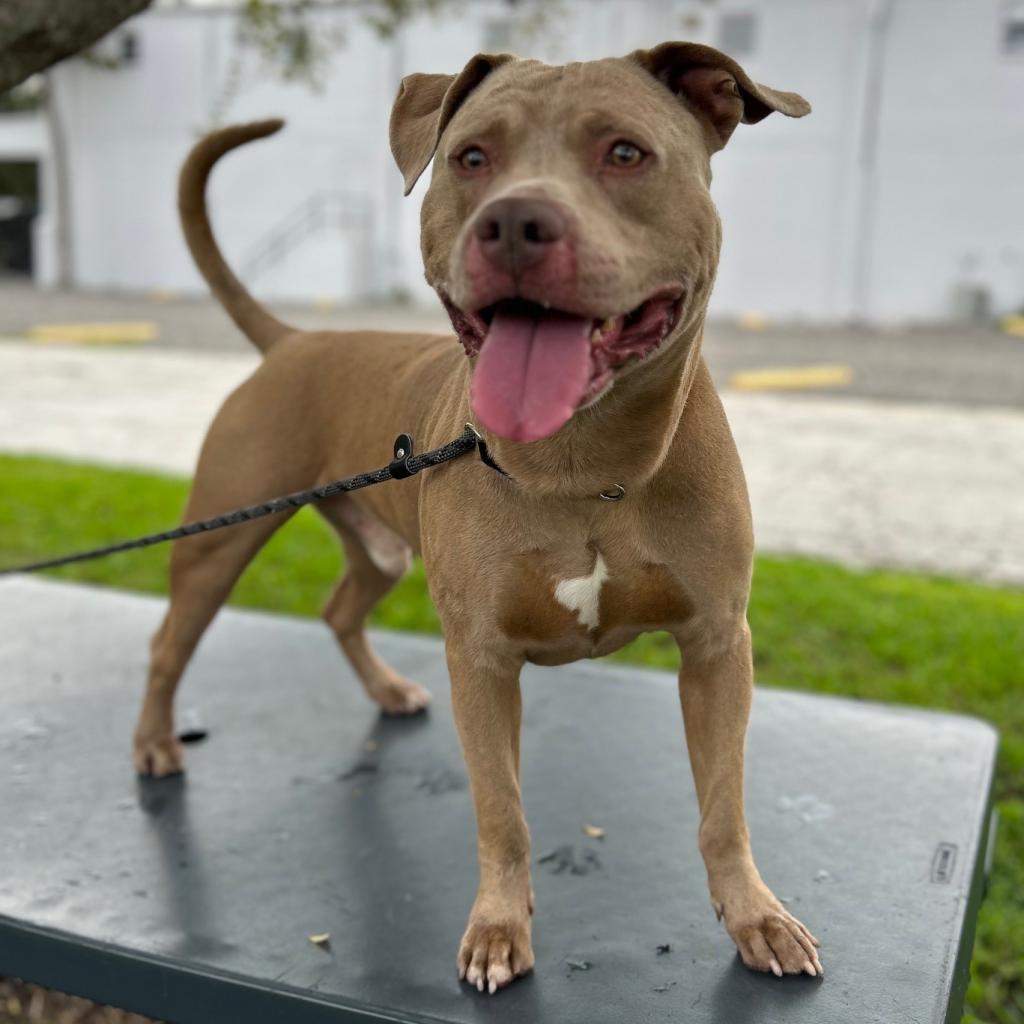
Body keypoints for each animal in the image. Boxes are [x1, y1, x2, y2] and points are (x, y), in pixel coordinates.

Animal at [134, 41, 823, 991]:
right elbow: (502, 809)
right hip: (218, 543)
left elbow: (723, 805)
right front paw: (499, 929)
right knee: (169, 644)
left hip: (380, 549)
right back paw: (155, 742)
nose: (516, 223)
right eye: (470, 158)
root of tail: (297, 340)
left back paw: (386, 690)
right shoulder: (483, 661)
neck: (584, 469)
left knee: (339, 608)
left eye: (625, 152)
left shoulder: (719, 645)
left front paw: (755, 916)